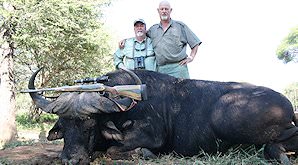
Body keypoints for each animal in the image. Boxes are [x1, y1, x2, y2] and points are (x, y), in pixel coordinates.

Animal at [27, 68, 298, 165]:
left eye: (89, 126)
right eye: (64, 126)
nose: (71, 160)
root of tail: (286, 103)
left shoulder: (151, 136)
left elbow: (115, 149)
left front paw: (143, 154)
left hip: (225, 116)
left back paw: (279, 154)